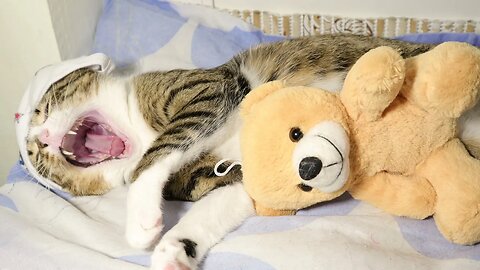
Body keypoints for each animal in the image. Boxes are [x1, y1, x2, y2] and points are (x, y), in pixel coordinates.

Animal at [27, 34, 480, 268]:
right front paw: (174, 249)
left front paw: (140, 220)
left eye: (41, 108)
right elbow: (220, 203)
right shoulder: (226, 177)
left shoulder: (210, 88)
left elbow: (158, 153)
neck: (137, 127)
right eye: (37, 161)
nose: (41, 139)